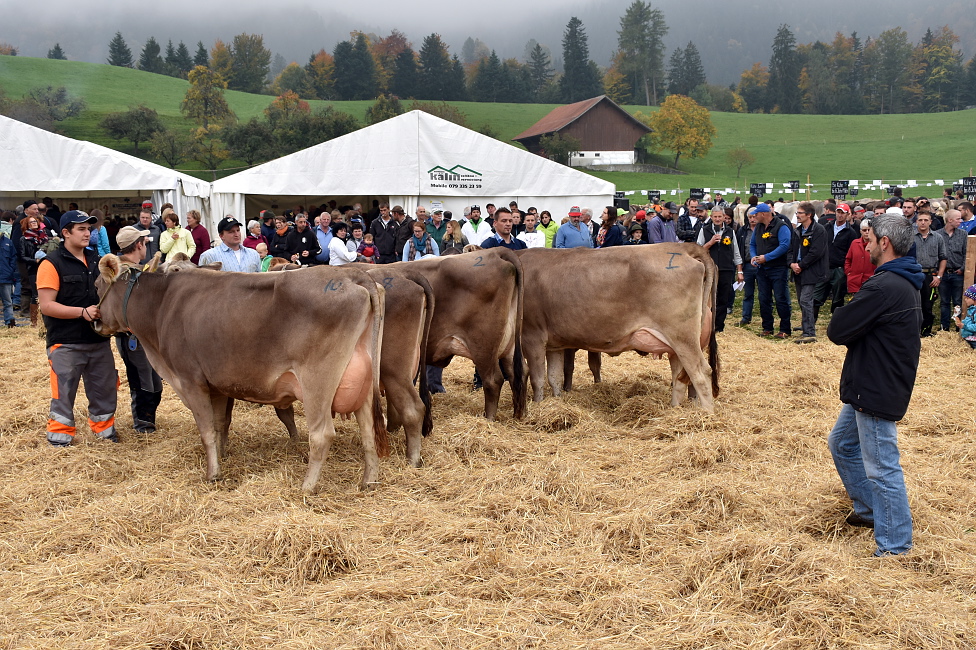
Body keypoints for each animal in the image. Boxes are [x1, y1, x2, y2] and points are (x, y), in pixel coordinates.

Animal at [93, 258, 386, 492]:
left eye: (96, 284)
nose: (95, 321)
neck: (161, 306)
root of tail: (350, 275)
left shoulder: (191, 381)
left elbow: (206, 430)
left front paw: (213, 474)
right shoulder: (217, 385)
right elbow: (220, 424)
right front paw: (223, 456)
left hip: (317, 381)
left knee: (322, 434)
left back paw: (307, 487)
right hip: (362, 378)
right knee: (368, 429)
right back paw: (368, 481)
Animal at [392, 248, 528, 420]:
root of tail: (496, 251)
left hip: (483, 345)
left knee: (493, 380)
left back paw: (488, 419)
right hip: (509, 344)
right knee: (519, 373)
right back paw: (520, 415)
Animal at [520, 244, 716, 410]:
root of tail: (682, 246)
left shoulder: (532, 336)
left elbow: (537, 378)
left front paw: (537, 405)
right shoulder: (554, 345)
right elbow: (554, 377)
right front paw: (556, 401)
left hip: (683, 336)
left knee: (701, 373)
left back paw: (707, 414)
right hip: (674, 343)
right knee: (679, 376)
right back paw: (674, 410)